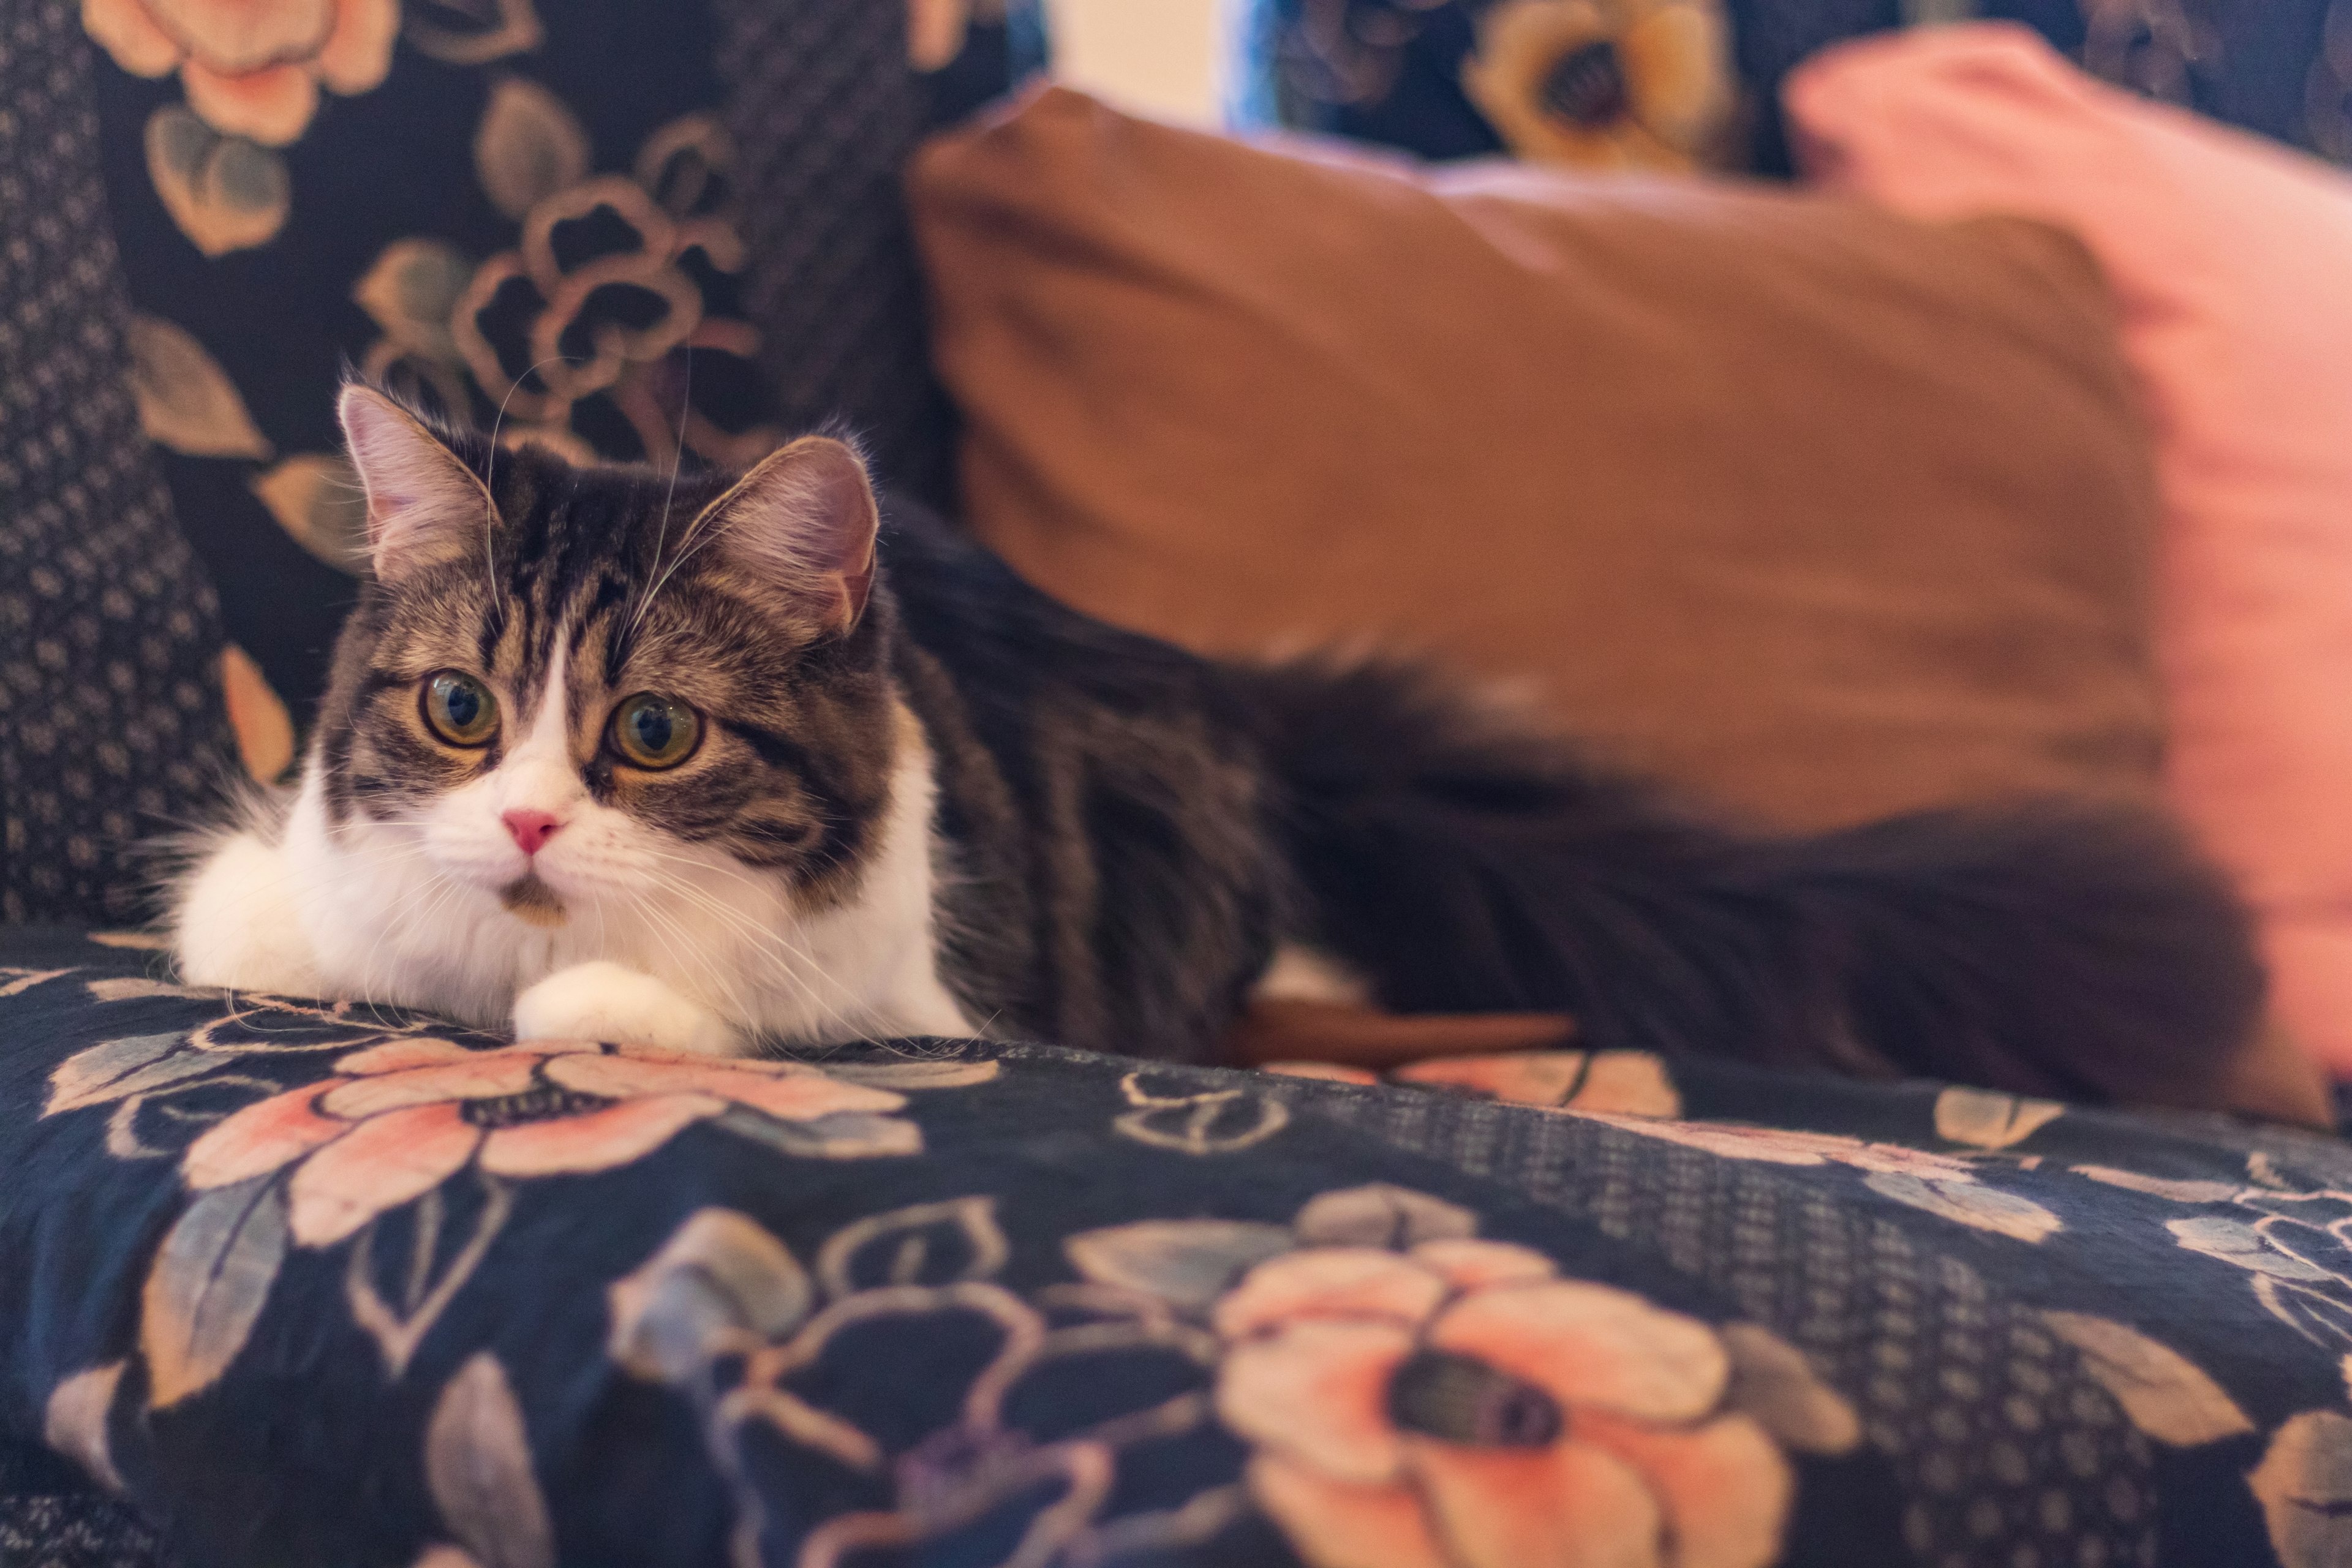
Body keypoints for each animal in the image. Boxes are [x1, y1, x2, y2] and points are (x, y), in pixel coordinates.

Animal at [174, 390, 2267, 1104]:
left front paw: (592, 999)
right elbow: (263, 918)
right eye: (460, 710)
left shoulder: (911, 976)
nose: (528, 823)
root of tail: (1250, 710)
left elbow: (690, 1001)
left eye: (654, 734)